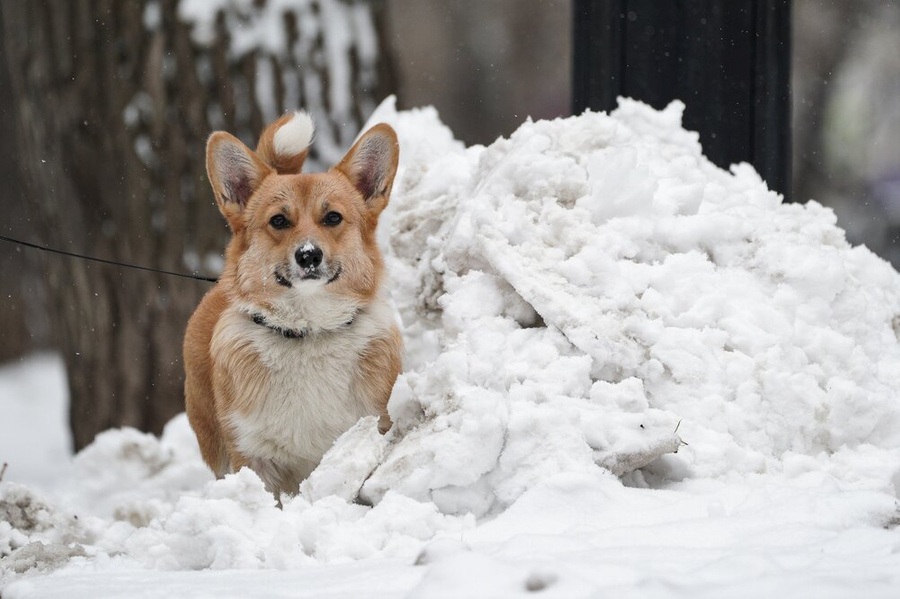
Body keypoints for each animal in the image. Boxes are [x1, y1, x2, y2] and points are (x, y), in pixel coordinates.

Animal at [185, 113, 402, 502]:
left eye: (333, 218)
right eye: (278, 221)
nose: (308, 255)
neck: (308, 331)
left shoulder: (371, 426)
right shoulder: (253, 455)